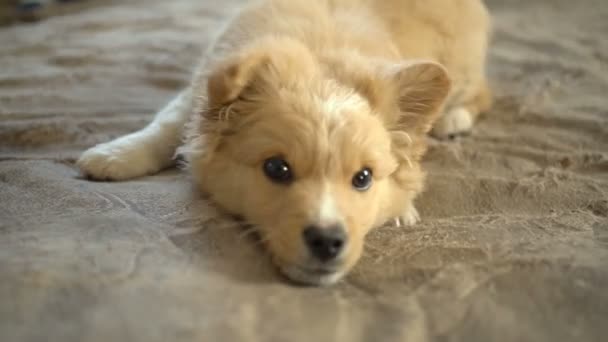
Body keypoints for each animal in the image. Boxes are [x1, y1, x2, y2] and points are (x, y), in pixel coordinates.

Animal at [77, 0, 494, 286]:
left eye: (363, 178)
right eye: (277, 169)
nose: (327, 242)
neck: (318, 62)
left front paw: (402, 206)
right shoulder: (197, 95)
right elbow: (166, 126)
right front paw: (112, 155)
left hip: (461, 69)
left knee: (482, 93)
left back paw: (453, 120)